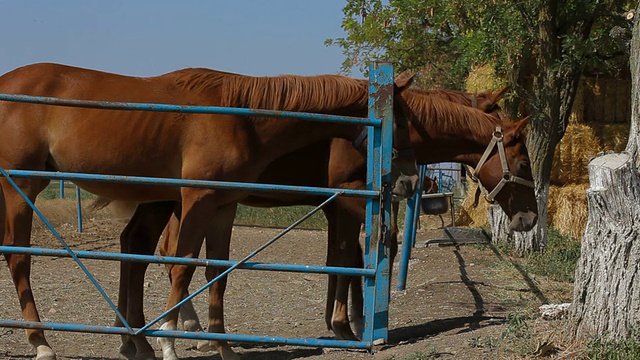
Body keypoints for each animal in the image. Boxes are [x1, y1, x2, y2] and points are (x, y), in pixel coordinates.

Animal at [0, 63, 420, 360]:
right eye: (400, 121)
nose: (411, 180)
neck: (242, 118)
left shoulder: (223, 205)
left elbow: (217, 271)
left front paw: (224, 346)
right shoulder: (197, 199)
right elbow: (183, 264)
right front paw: (170, 342)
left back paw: (131, 343)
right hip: (21, 187)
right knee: (19, 256)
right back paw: (41, 342)